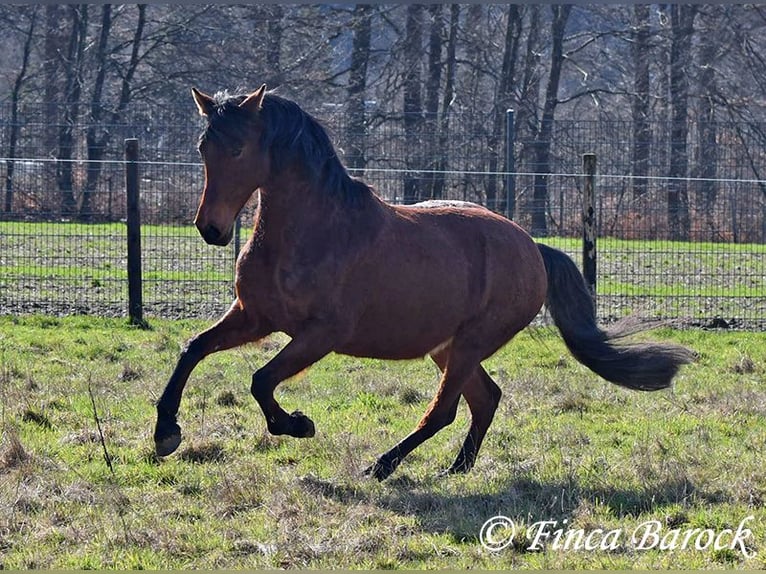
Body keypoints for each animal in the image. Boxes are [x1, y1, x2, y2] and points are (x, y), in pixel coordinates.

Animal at [153, 84, 694, 480]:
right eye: (203, 147)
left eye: (238, 147)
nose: (211, 229)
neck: (311, 231)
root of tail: (532, 248)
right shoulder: (255, 317)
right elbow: (192, 350)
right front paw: (165, 433)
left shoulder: (320, 334)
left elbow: (261, 380)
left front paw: (298, 425)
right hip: (447, 346)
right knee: (484, 399)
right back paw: (455, 470)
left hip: (471, 342)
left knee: (445, 411)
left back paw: (381, 466)